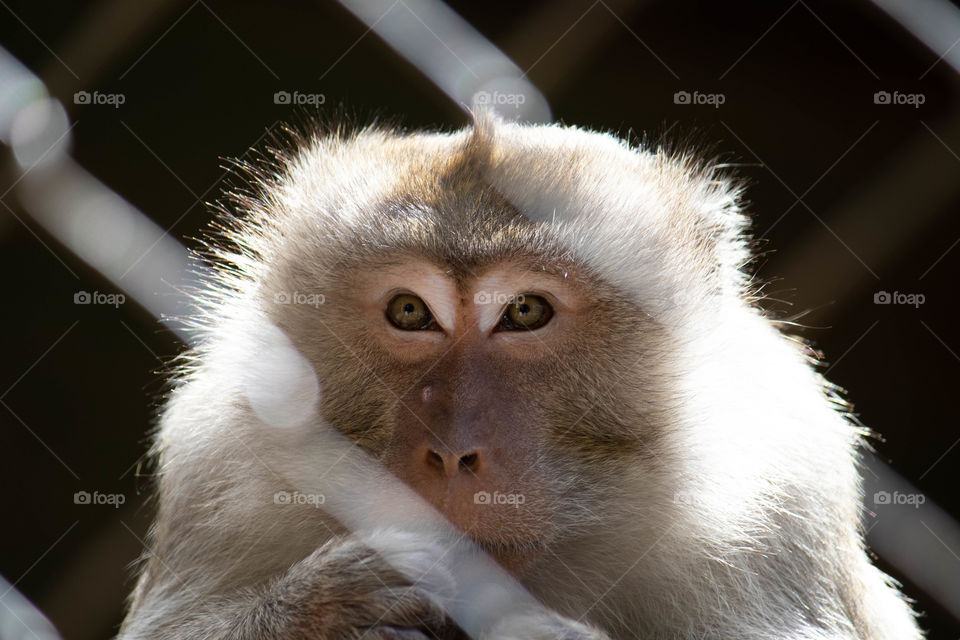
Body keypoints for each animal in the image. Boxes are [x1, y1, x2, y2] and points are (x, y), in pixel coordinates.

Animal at [118, 111, 923, 640]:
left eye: (526, 311)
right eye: (410, 311)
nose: (451, 452)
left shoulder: (782, 489)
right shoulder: (217, 457)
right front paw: (323, 610)